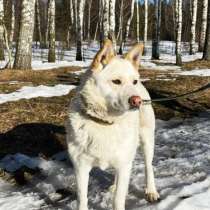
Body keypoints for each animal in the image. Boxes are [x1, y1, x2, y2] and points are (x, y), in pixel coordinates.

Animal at [65, 39, 159, 210]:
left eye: (133, 81)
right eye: (116, 81)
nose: (137, 101)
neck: (105, 123)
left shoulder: (124, 164)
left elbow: (118, 200)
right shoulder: (81, 167)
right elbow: (82, 199)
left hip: (147, 142)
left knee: (148, 167)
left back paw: (151, 190)